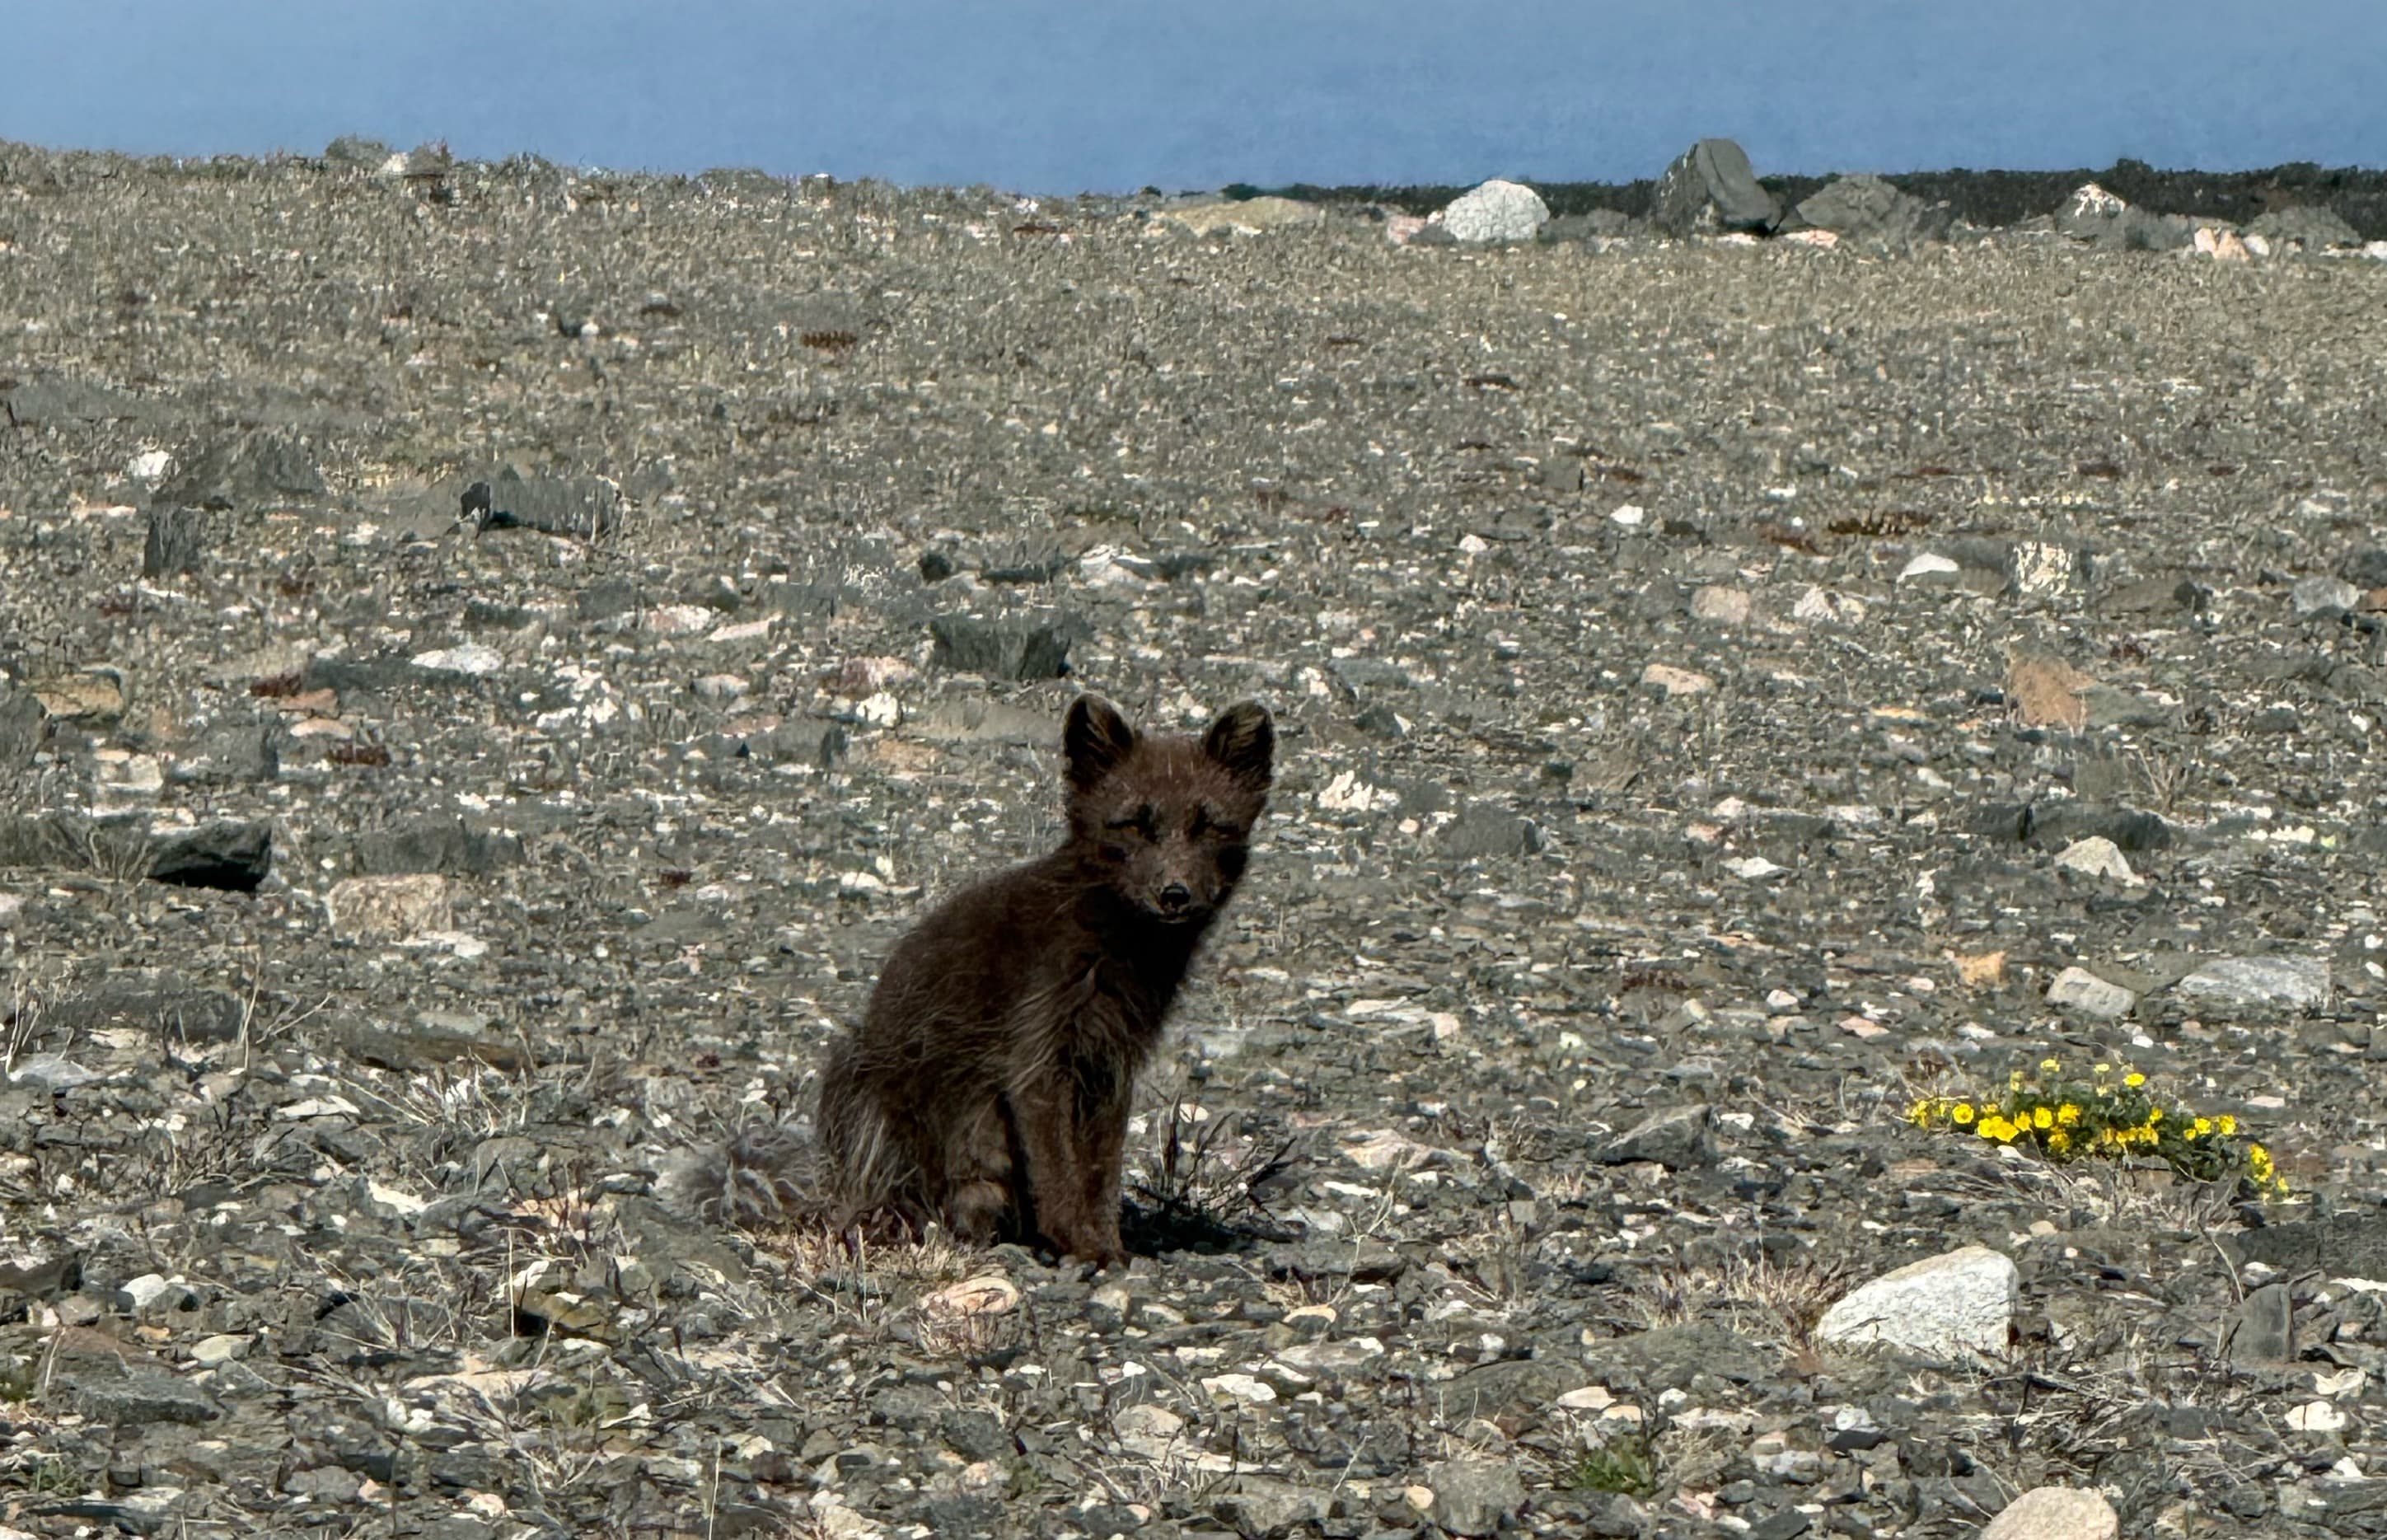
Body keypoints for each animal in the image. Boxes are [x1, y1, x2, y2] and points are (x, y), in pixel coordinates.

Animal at [666, 693, 1274, 1267]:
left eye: (1210, 825)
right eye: (1133, 824)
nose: (1174, 894)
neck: (1115, 945)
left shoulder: (1109, 1066)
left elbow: (1100, 1172)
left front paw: (1108, 1246)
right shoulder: (1036, 1057)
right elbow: (1059, 1172)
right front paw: (1082, 1247)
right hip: (863, 1074)